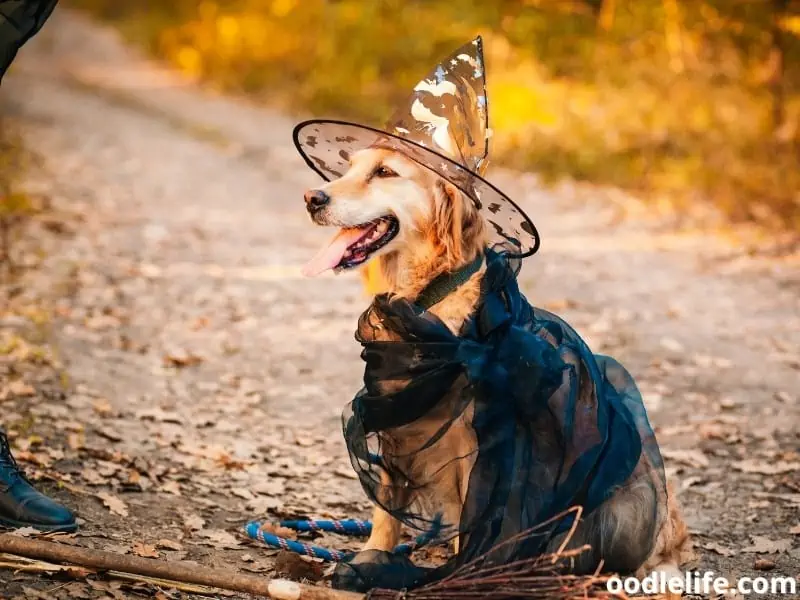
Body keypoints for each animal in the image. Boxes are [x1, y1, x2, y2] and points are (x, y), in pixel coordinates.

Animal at [300, 146, 688, 580]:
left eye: (384, 172)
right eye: (350, 167)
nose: (312, 198)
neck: (427, 301)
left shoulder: (479, 449)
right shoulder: (395, 417)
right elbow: (386, 510)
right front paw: (371, 558)